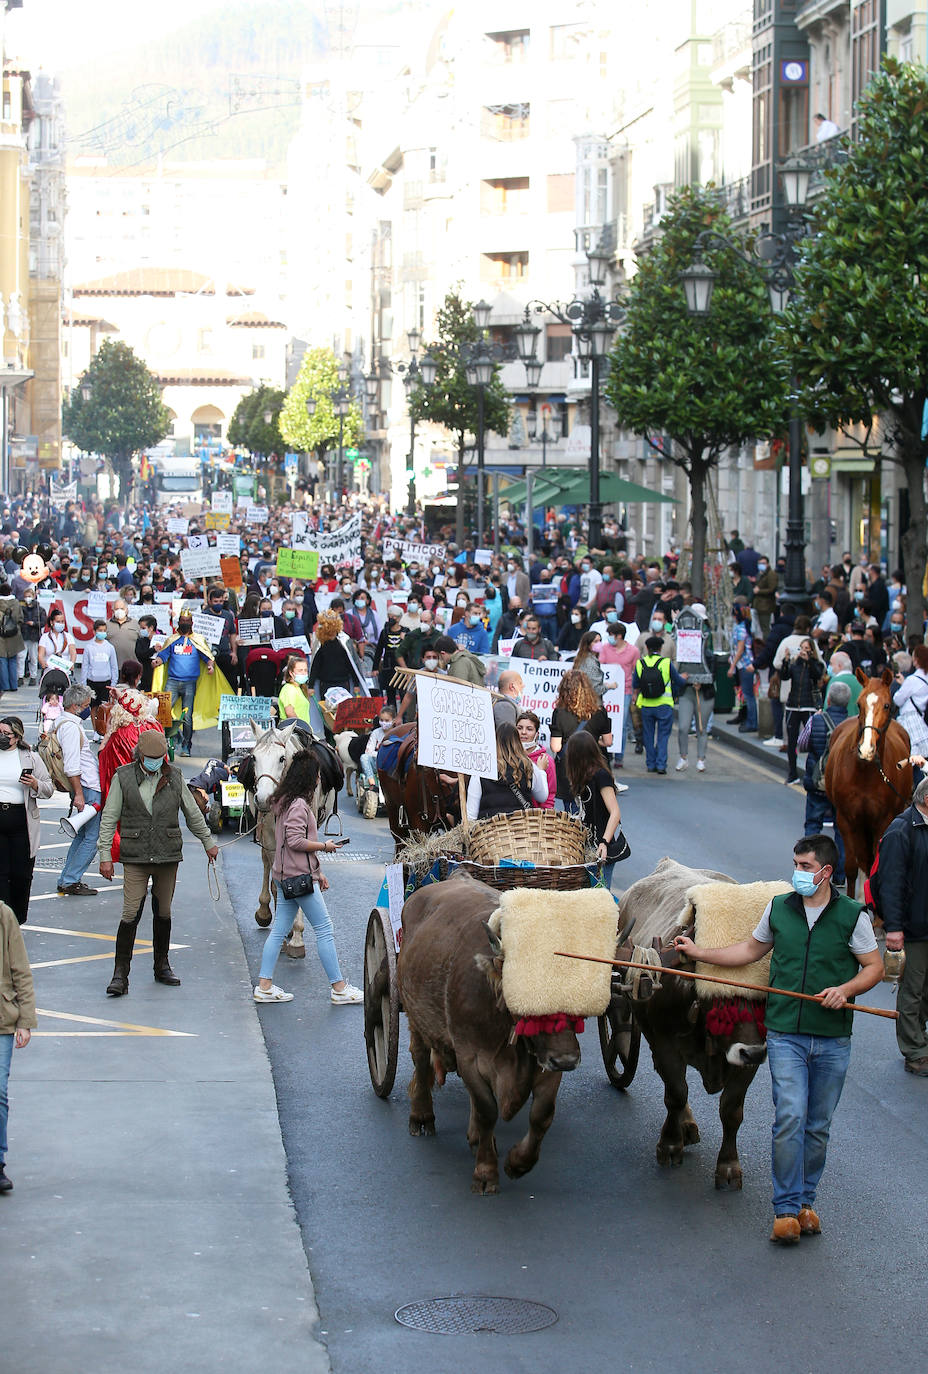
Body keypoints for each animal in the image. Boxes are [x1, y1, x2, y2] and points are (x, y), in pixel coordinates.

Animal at [247, 725, 345, 961]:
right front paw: (286, 927)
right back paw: (265, 911)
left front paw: (297, 935)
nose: (263, 798)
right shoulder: (270, 837)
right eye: (254, 757)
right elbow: (277, 878)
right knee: (267, 866)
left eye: (282, 758)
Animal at [824, 667, 912, 901]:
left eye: (887, 705)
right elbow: (851, 867)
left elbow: (876, 864)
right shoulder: (846, 820)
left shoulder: (883, 821)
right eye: (859, 704)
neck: (865, 773)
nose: (866, 749)